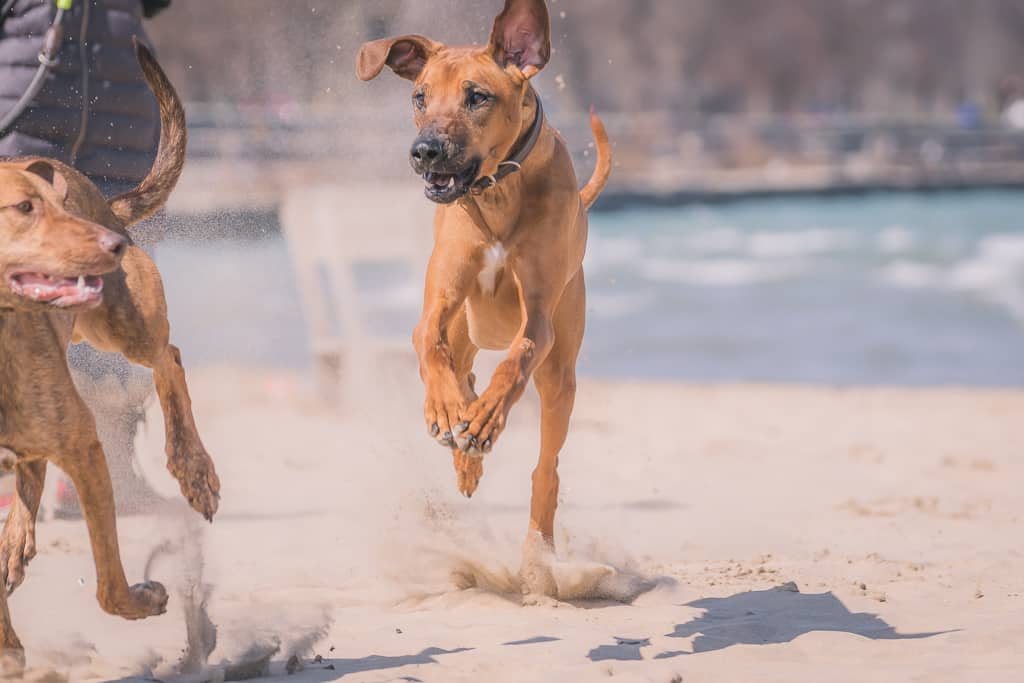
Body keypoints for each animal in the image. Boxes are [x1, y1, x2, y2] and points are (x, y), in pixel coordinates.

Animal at [0, 40, 218, 671]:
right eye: (23, 210)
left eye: (45, 207)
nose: (108, 246)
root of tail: (103, 200)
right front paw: (9, 647)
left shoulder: (85, 448)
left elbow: (110, 585)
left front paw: (145, 598)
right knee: (27, 479)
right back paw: (15, 544)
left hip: (123, 323)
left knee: (169, 356)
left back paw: (194, 469)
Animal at [358, 0, 606, 598]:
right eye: (419, 96)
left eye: (477, 96)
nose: (423, 152)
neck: (496, 191)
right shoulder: (440, 299)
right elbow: (427, 341)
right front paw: (450, 411)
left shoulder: (539, 317)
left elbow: (517, 359)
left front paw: (486, 417)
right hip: (465, 331)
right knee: (455, 365)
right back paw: (456, 430)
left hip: (561, 376)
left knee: (546, 466)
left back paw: (537, 556)